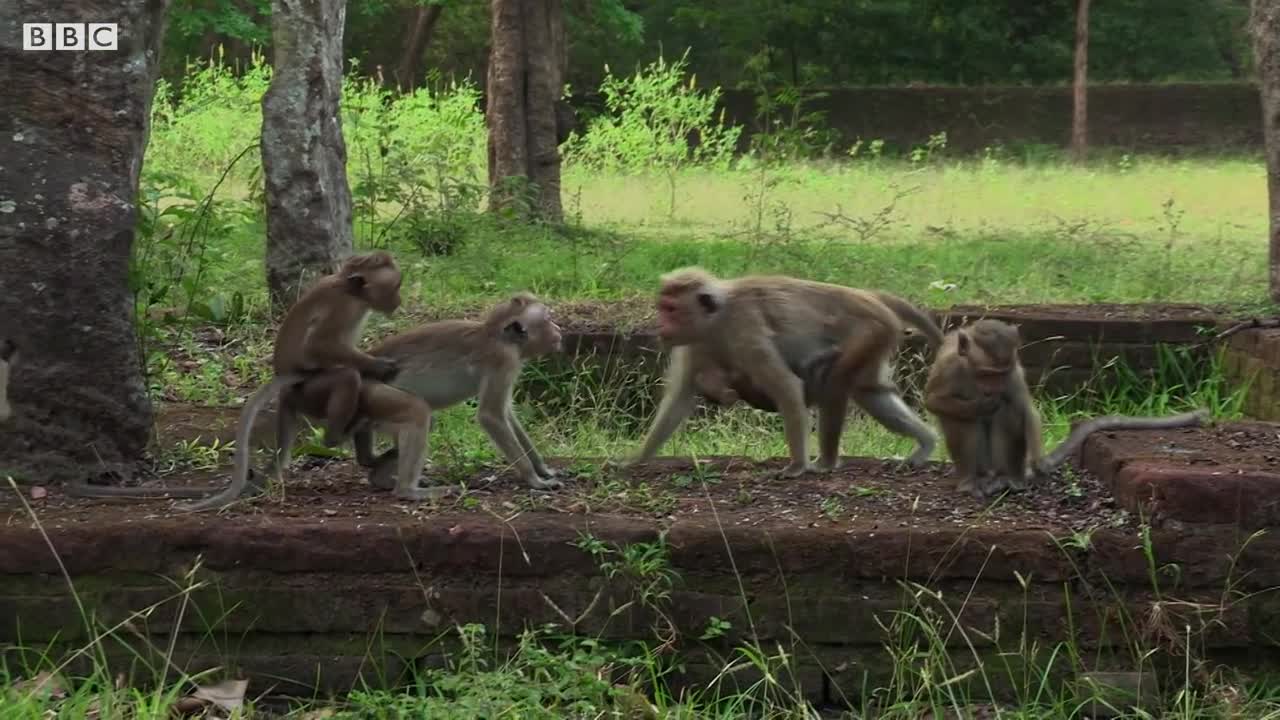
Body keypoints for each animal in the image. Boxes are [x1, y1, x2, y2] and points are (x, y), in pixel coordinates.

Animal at [624, 266, 947, 474]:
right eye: (662, 307)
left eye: (671, 309)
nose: (660, 326)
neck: (716, 319)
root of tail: (870, 297)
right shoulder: (694, 344)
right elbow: (679, 400)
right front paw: (636, 459)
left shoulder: (745, 329)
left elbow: (786, 386)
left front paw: (796, 466)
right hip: (877, 338)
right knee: (871, 393)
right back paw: (926, 443)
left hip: (869, 330)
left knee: (836, 382)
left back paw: (825, 463)